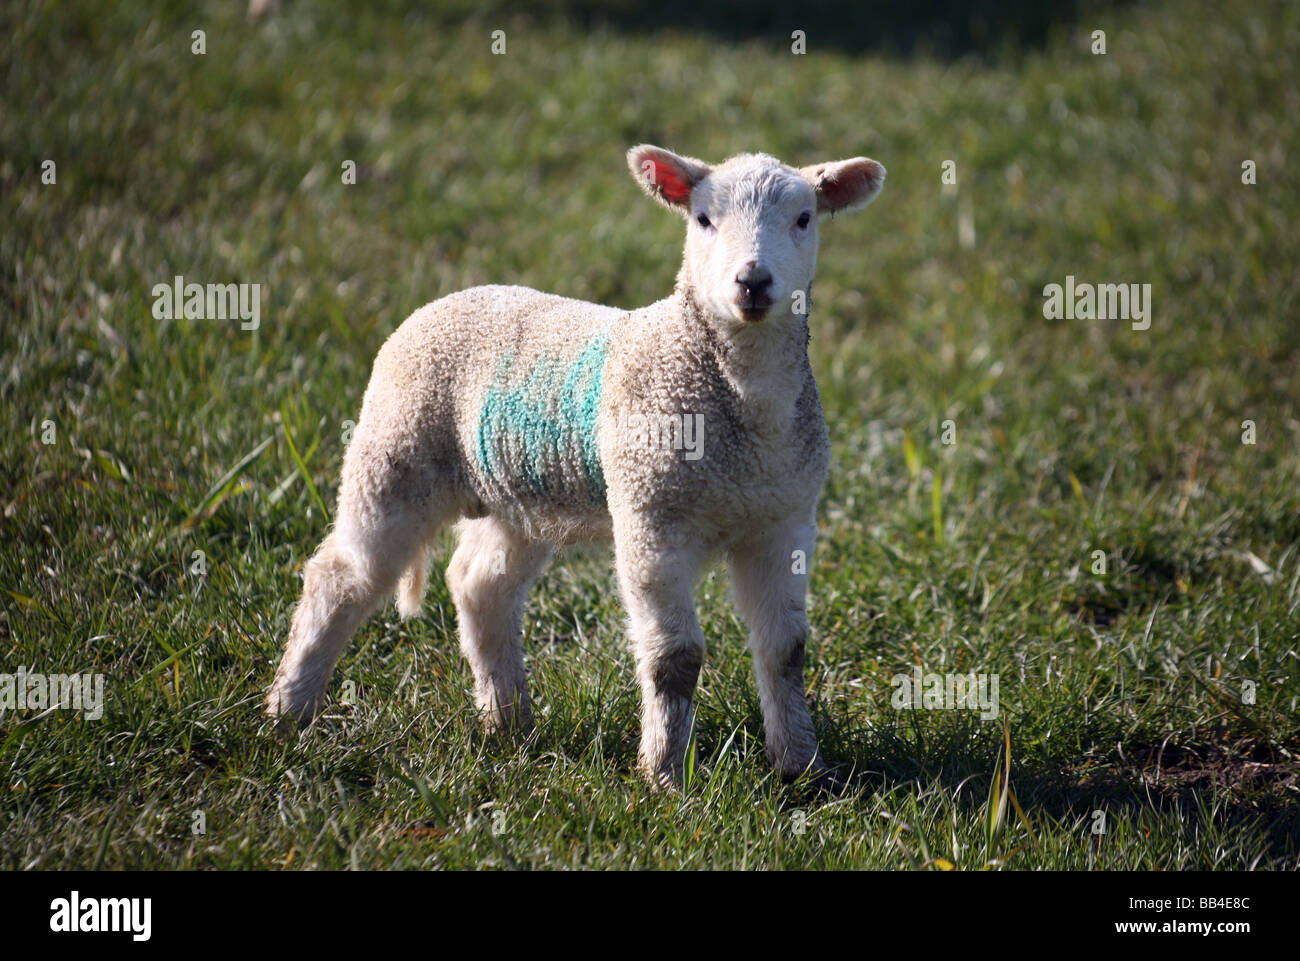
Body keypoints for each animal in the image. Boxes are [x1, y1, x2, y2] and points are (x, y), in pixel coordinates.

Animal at [267, 144, 886, 789]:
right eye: (703, 219)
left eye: (804, 219)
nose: (753, 281)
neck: (744, 411)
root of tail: (446, 300)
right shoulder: (650, 516)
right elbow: (675, 658)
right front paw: (664, 776)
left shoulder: (783, 520)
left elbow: (785, 651)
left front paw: (804, 770)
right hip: (394, 451)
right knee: (342, 576)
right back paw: (288, 714)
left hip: (516, 492)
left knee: (480, 584)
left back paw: (507, 723)